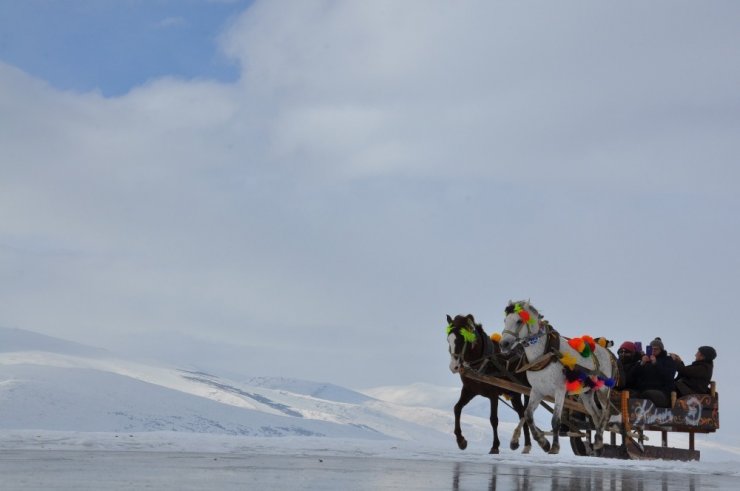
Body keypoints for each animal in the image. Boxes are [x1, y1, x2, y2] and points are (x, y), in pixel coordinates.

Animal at [498, 300, 620, 458]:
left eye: (519, 321)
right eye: (505, 320)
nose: (503, 344)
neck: (544, 354)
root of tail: (607, 352)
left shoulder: (560, 390)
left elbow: (555, 420)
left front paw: (554, 447)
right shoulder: (537, 391)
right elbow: (528, 415)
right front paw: (543, 442)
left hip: (603, 389)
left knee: (606, 413)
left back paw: (598, 442)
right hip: (586, 393)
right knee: (596, 415)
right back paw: (596, 447)